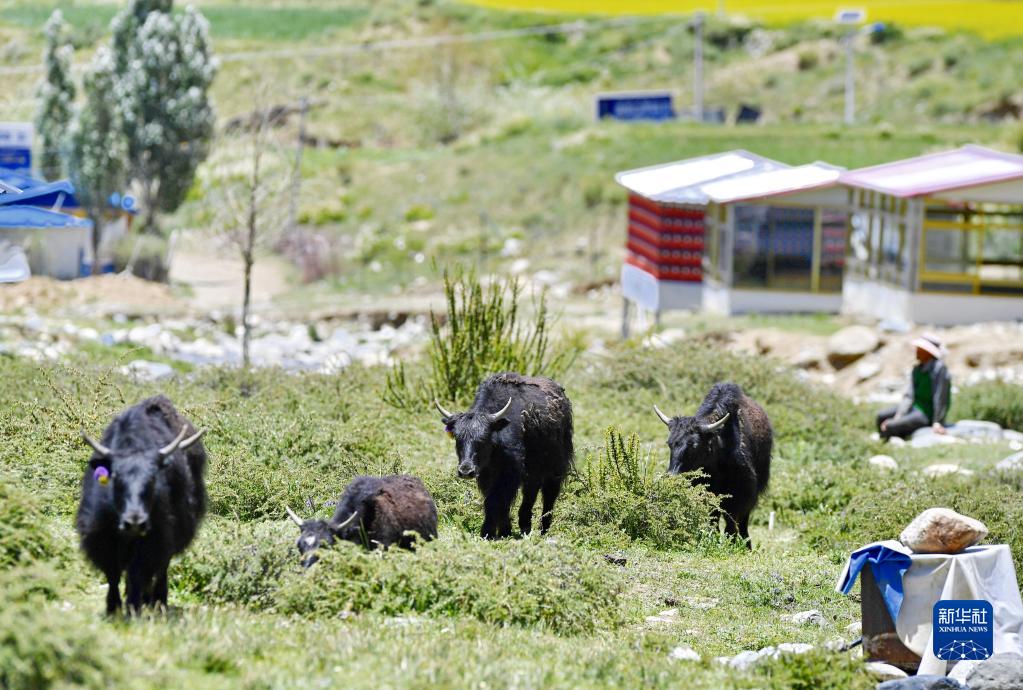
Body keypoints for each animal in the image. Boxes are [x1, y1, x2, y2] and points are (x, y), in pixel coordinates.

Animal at [75, 395, 207, 615]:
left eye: (152, 479)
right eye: (116, 478)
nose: (135, 522)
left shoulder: (154, 538)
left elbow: (138, 572)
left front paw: (133, 607)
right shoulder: (102, 535)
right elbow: (113, 573)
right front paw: (113, 607)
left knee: (160, 568)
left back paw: (158, 602)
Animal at [435, 372, 573, 539]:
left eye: (483, 438)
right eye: (457, 438)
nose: (466, 471)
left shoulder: (510, 472)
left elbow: (497, 500)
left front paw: (487, 532)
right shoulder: (486, 475)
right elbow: (493, 500)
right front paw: (503, 530)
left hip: (555, 468)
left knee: (549, 495)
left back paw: (542, 530)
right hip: (534, 471)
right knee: (530, 492)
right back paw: (525, 525)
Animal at [653, 382, 771, 548]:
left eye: (694, 445)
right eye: (669, 443)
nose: (672, 476)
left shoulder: (740, 498)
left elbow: (731, 525)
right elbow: (713, 523)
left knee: (742, 525)